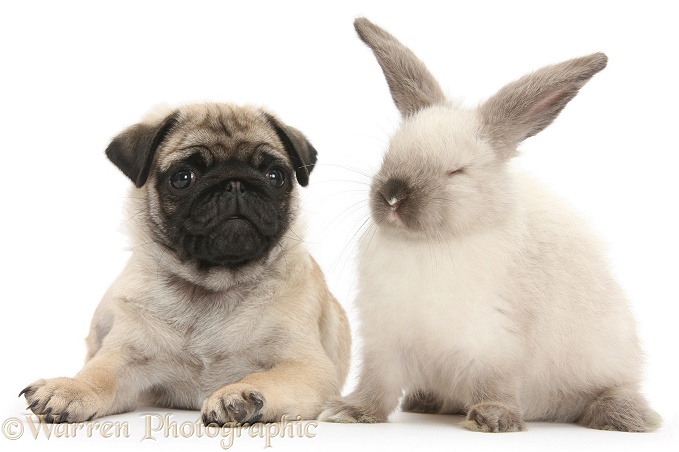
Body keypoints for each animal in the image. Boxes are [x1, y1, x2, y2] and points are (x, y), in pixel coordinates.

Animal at [19, 104, 350, 426]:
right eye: (183, 178)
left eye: (275, 176)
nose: (235, 184)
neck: (212, 286)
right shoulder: (126, 357)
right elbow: (98, 373)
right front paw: (71, 388)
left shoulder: (307, 367)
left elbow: (267, 377)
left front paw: (241, 394)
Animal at [320, 18, 664, 434]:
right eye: (389, 155)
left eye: (456, 171)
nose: (393, 196)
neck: (431, 244)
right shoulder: (384, 338)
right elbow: (376, 383)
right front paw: (350, 412)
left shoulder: (496, 340)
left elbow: (494, 382)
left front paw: (492, 419)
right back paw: (427, 401)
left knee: (613, 388)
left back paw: (623, 417)